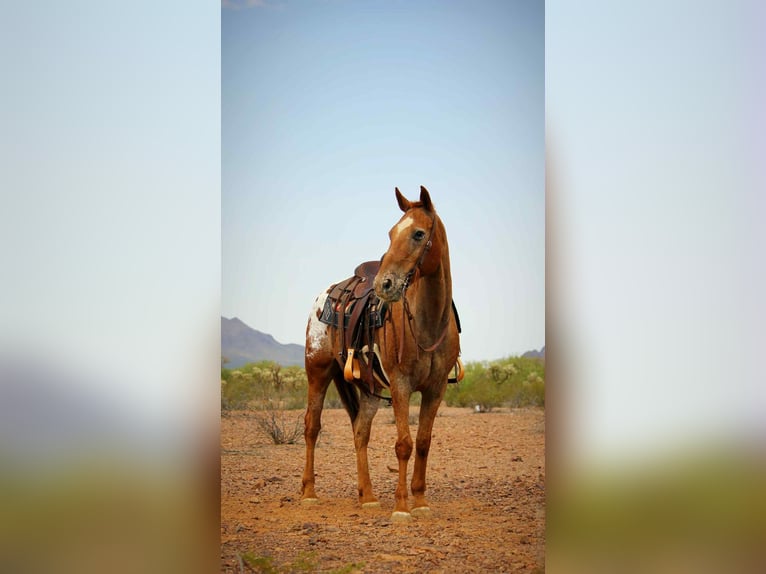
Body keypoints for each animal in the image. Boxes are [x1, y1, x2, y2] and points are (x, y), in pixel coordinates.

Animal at [301, 186, 461, 522]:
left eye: (418, 233)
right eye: (391, 233)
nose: (384, 284)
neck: (428, 322)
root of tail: (325, 295)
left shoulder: (436, 388)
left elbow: (423, 442)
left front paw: (420, 501)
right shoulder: (401, 385)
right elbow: (403, 444)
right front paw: (401, 507)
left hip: (369, 389)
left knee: (360, 430)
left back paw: (368, 497)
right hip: (318, 371)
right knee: (312, 426)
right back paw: (308, 492)